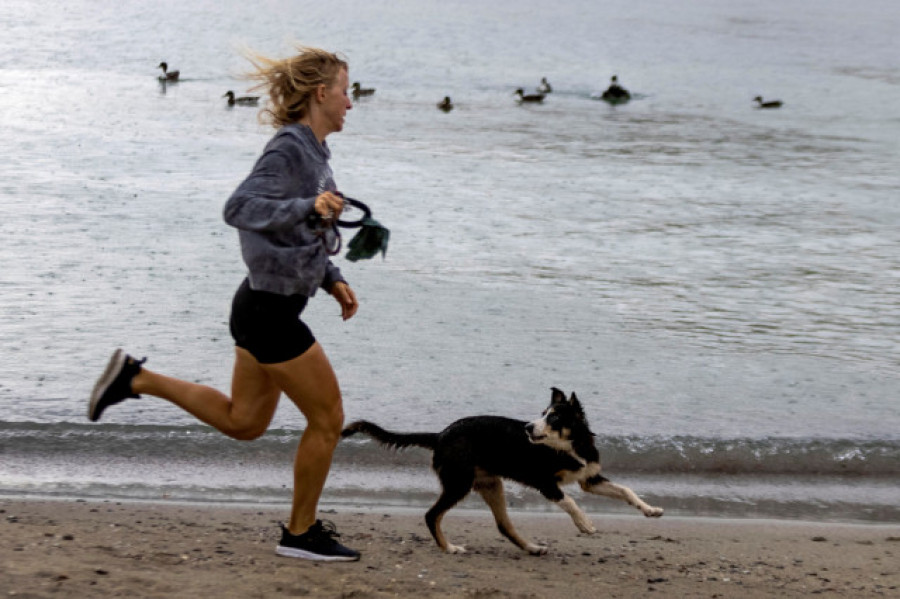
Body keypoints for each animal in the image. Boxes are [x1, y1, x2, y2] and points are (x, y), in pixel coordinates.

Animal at [342, 390, 664, 552]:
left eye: (554, 417)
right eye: (542, 414)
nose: (528, 427)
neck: (568, 447)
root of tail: (440, 435)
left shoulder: (590, 479)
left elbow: (626, 490)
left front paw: (651, 510)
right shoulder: (545, 483)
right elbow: (570, 501)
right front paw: (584, 523)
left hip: (490, 484)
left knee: (503, 525)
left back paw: (531, 548)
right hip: (459, 483)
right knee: (431, 515)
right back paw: (449, 548)